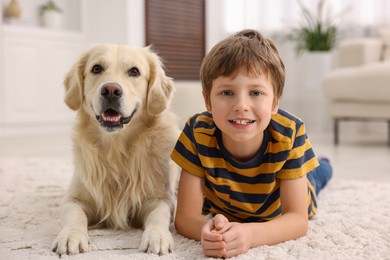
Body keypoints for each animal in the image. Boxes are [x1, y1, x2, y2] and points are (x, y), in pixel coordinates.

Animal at [51, 44, 179, 256]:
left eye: (134, 71)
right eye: (96, 68)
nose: (111, 90)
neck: (116, 149)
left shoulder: (161, 199)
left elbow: (158, 216)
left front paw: (158, 237)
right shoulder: (73, 199)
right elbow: (74, 216)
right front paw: (70, 236)